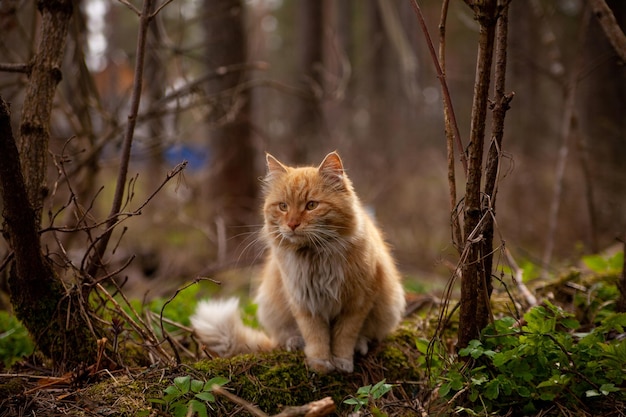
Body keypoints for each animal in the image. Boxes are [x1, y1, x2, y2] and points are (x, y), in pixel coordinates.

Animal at [190, 151, 404, 372]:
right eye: (283, 206)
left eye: (311, 205)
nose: (292, 224)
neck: (317, 257)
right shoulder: (304, 302)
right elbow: (315, 336)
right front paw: (320, 364)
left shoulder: (357, 302)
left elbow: (345, 335)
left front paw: (342, 361)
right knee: (284, 336)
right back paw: (294, 342)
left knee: (368, 334)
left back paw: (359, 344)